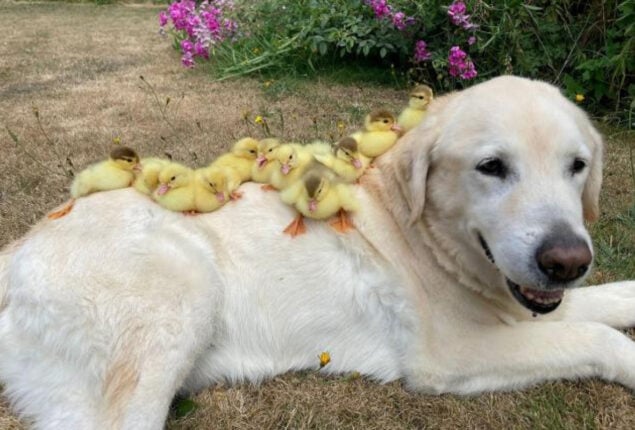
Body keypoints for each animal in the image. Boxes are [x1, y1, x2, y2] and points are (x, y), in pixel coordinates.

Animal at [1, 75, 635, 428]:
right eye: (492, 167)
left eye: (577, 166)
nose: (567, 261)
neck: (421, 232)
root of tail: (17, 250)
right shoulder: (452, 355)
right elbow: (597, 336)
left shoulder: (526, 307)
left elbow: (605, 302)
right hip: (181, 296)